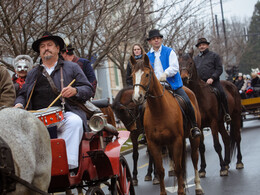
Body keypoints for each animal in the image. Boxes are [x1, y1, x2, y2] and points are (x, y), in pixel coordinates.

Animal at [131, 54, 202, 195]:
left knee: (194, 158)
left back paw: (198, 186)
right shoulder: (154, 144)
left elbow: (179, 168)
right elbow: (160, 170)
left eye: (147, 74)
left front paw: (181, 190)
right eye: (132, 75)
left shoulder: (177, 141)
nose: (137, 97)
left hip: (193, 139)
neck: (159, 110)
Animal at [179, 49, 244, 177]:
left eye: (190, 63)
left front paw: (222, 168)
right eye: (179, 62)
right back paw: (227, 162)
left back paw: (238, 162)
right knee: (226, 138)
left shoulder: (213, 122)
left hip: (235, 117)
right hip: (220, 123)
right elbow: (201, 147)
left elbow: (217, 146)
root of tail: (232, 85)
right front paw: (202, 169)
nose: (183, 78)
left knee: (237, 138)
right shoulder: (199, 126)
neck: (199, 96)